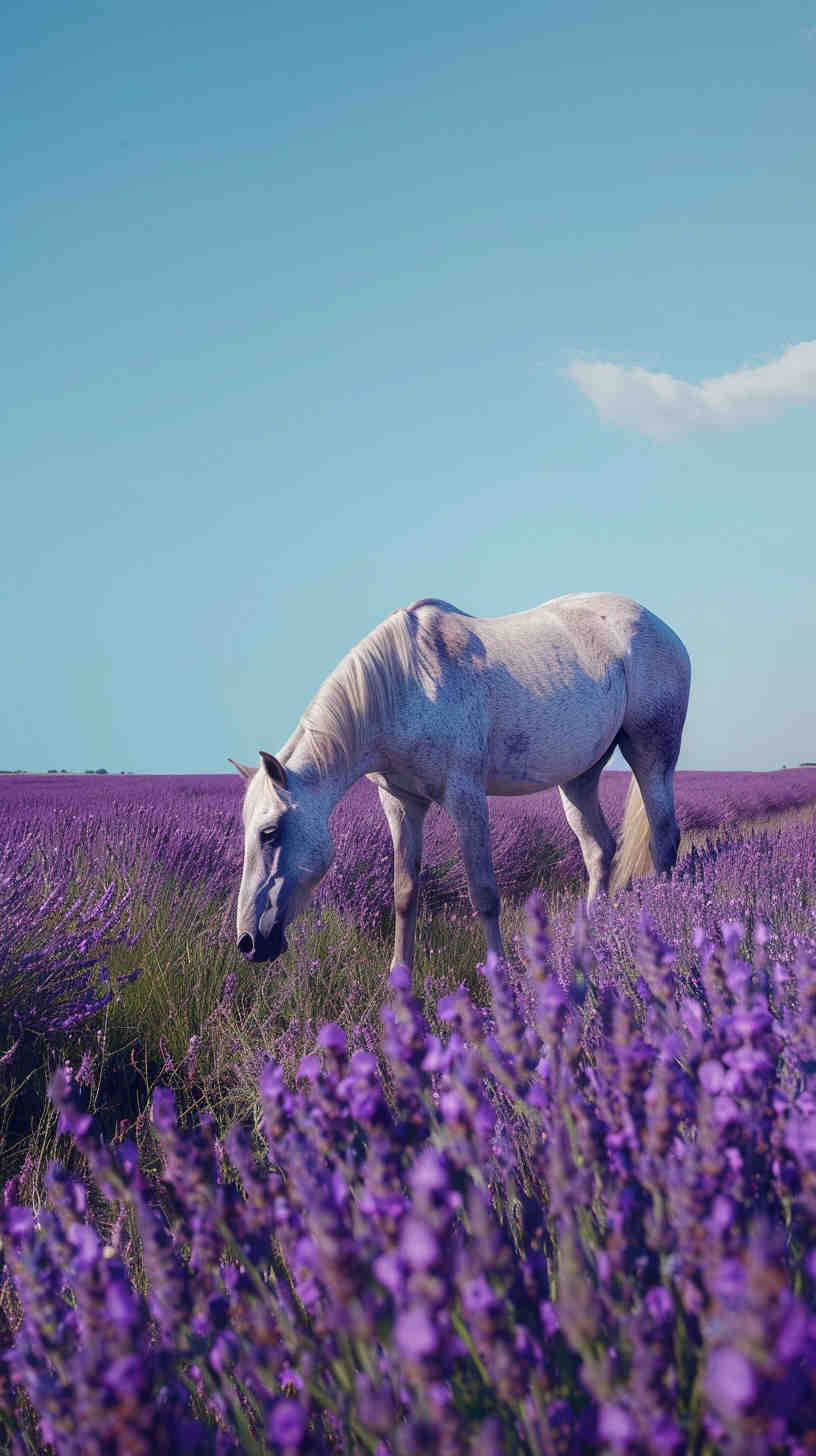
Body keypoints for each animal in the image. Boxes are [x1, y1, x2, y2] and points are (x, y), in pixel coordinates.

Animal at [230, 592, 691, 969]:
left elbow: (483, 893)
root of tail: (660, 627)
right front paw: (399, 981)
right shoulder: (400, 801)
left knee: (664, 840)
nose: (248, 943)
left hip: (652, 754)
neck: (403, 687)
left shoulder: (465, 796)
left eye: (270, 832)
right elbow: (404, 892)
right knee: (600, 851)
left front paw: (499, 974)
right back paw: (588, 946)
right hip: (579, 778)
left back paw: (662, 931)